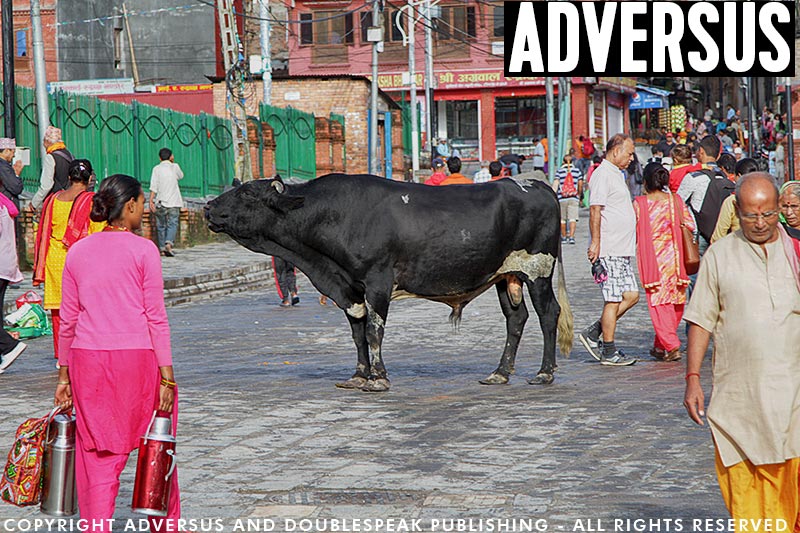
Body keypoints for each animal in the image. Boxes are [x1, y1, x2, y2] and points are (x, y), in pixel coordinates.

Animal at [203, 175, 572, 390]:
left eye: (247, 193)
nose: (207, 207)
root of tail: (534, 185)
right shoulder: (349, 289)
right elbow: (357, 332)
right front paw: (358, 375)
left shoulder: (377, 281)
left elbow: (373, 330)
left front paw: (377, 378)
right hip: (505, 276)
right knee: (516, 319)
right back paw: (500, 372)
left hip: (538, 270)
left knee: (548, 314)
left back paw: (545, 372)